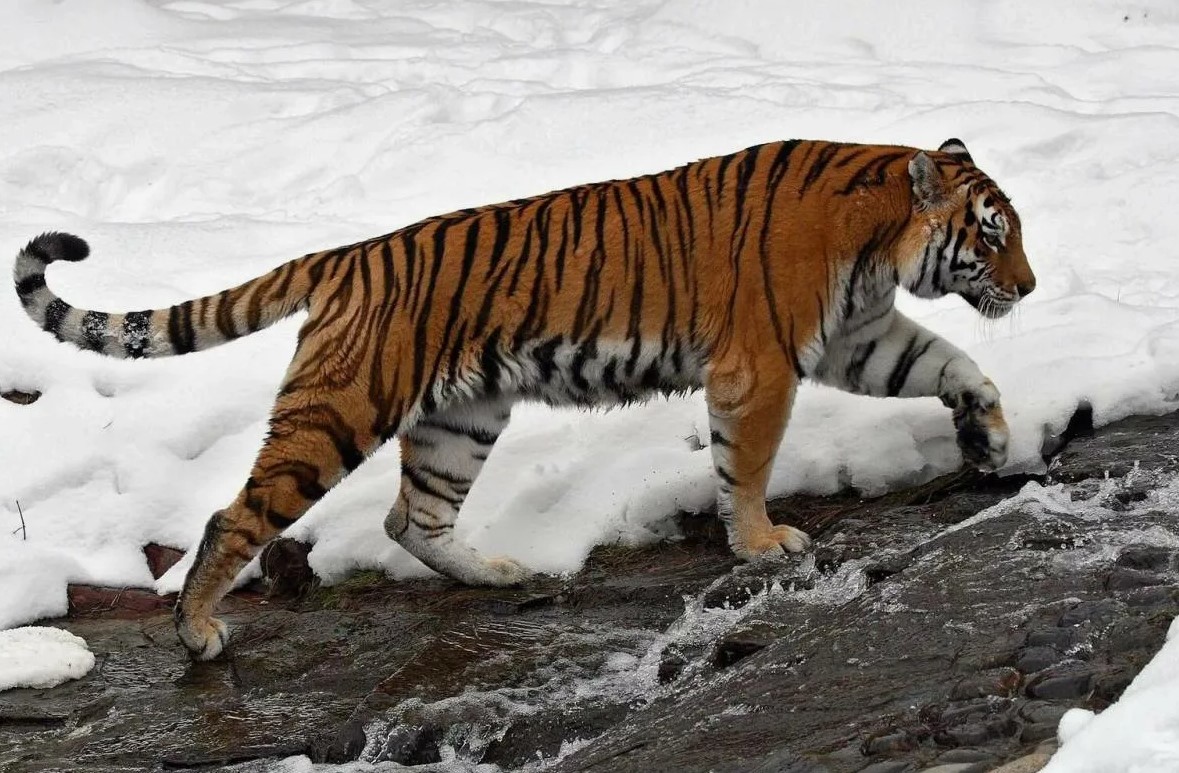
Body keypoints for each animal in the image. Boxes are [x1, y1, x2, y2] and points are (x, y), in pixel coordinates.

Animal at [13, 137, 1035, 660]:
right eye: (990, 235)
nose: (1026, 287)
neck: (879, 238)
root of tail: (345, 256)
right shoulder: (762, 364)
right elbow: (744, 462)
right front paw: (761, 542)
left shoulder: (861, 336)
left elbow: (951, 364)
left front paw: (990, 434)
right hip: (340, 411)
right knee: (235, 515)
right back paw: (196, 630)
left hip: (461, 418)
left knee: (409, 517)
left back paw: (498, 574)